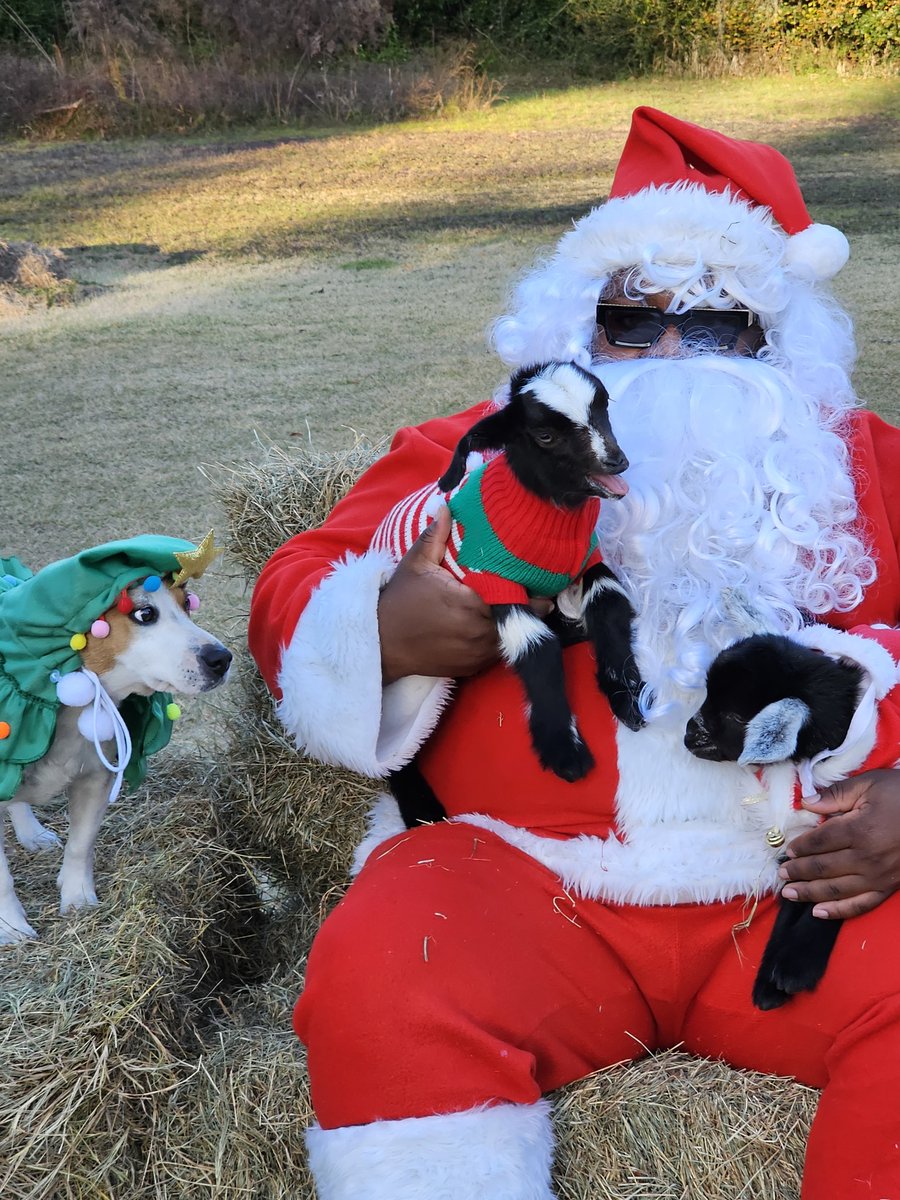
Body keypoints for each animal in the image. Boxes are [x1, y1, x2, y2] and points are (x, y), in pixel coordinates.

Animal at [0, 537, 232, 945]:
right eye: (144, 614)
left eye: (187, 604)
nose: (222, 659)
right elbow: (2, 880)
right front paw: (11, 927)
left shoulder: (96, 779)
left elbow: (80, 846)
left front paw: (78, 901)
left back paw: (32, 833)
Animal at [376, 355, 643, 825]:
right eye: (545, 435)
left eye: (602, 407)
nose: (616, 461)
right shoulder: (495, 582)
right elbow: (536, 648)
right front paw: (564, 753)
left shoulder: (588, 563)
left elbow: (609, 605)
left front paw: (625, 696)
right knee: (398, 748)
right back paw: (422, 811)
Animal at [681, 638, 868, 1012]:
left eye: (735, 716)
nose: (688, 737)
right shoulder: (803, 843)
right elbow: (796, 896)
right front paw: (769, 984)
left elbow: (828, 898)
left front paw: (794, 969)